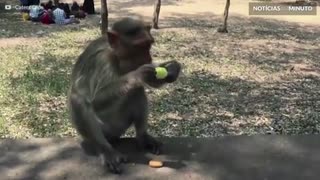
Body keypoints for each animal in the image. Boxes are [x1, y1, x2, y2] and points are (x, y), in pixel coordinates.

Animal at [68, 16, 180, 174]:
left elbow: (151, 80)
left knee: (136, 91)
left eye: (148, 45)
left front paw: (172, 69)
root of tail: (113, 136)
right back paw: (105, 149)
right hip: (105, 128)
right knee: (79, 100)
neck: (116, 55)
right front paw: (137, 75)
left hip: (120, 126)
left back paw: (143, 137)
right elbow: (95, 100)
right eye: (140, 46)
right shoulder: (103, 60)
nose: (149, 58)